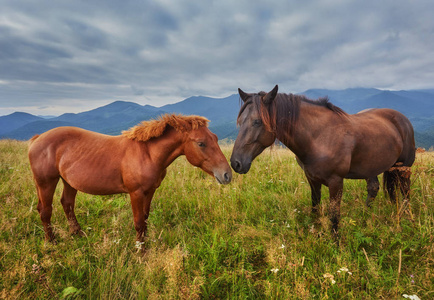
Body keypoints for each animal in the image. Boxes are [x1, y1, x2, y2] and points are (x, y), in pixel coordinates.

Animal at [28, 113, 232, 250]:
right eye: (201, 143)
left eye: (215, 138)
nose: (227, 174)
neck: (147, 153)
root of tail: (37, 138)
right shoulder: (136, 193)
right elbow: (138, 221)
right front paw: (141, 251)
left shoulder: (150, 191)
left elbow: (145, 217)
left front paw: (146, 243)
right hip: (46, 182)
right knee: (46, 211)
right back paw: (51, 242)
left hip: (69, 181)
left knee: (67, 204)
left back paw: (77, 234)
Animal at [232, 84, 416, 241]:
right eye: (240, 122)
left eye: (257, 121)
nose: (236, 163)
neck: (319, 137)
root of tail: (402, 119)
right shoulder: (312, 179)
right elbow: (315, 207)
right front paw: (315, 231)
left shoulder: (336, 182)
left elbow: (334, 216)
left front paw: (336, 245)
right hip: (373, 168)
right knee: (375, 189)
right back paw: (367, 216)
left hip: (404, 169)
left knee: (405, 193)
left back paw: (407, 218)